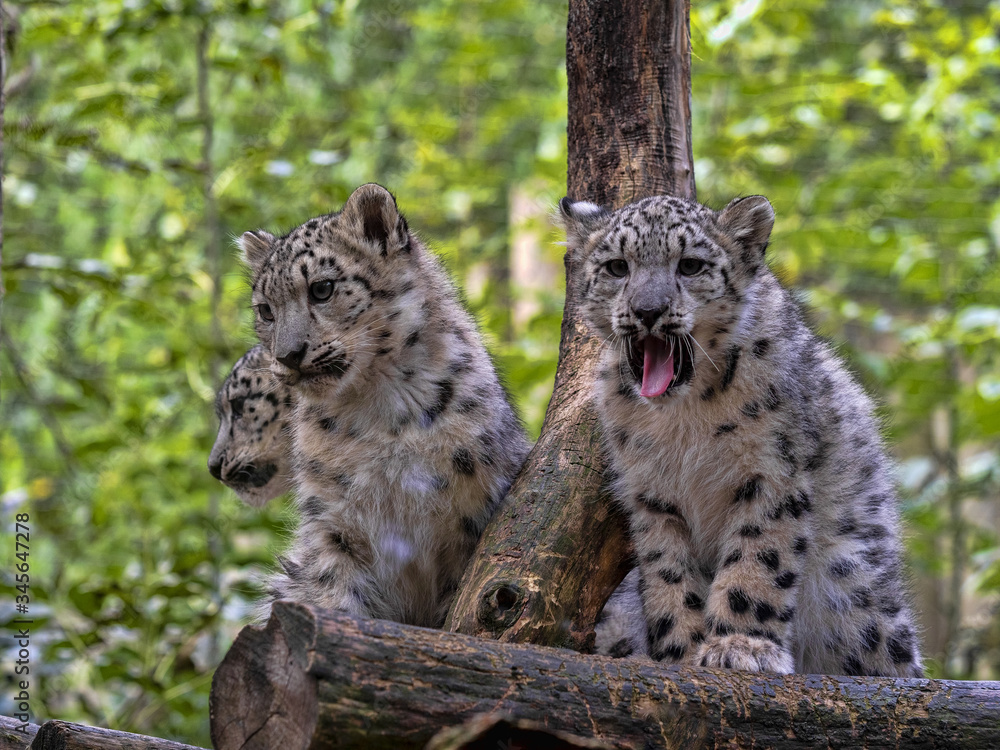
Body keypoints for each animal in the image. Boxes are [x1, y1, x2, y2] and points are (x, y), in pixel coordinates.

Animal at [241, 183, 531, 627]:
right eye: (266, 310)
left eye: (322, 288)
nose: (288, 355)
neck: (378, 410)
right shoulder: (334, 524)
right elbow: (332, 586)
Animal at [561, 193, 923, 677]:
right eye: (617, 267)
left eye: (690, 265)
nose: (647, 310)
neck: (684, 420)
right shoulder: (651, 494)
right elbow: (668, 572)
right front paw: (683, 650)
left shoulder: (772, 472)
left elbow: (757, 557)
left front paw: (742, 646)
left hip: (854, 588)